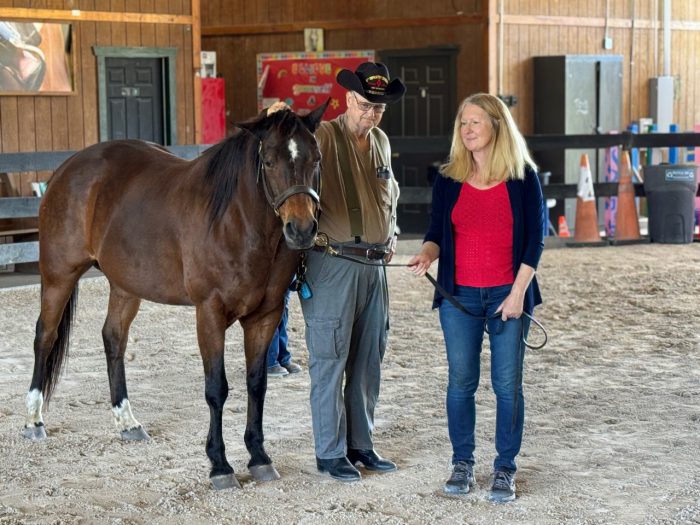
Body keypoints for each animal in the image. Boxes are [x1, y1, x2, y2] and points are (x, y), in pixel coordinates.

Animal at [22, 100, 329, 490]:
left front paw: (259, 457)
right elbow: (217, 388)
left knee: (113, 338)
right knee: (44, 337)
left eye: (316, 158)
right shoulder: (209, 313)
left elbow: (256, 384)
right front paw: (220, 465)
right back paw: (33, 420)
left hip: (125, 285)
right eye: (270, 160)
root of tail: (68, 168)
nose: (301, 230)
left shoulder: (266, 316)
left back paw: (127, 422)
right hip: (58, 275)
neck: (236, 221)